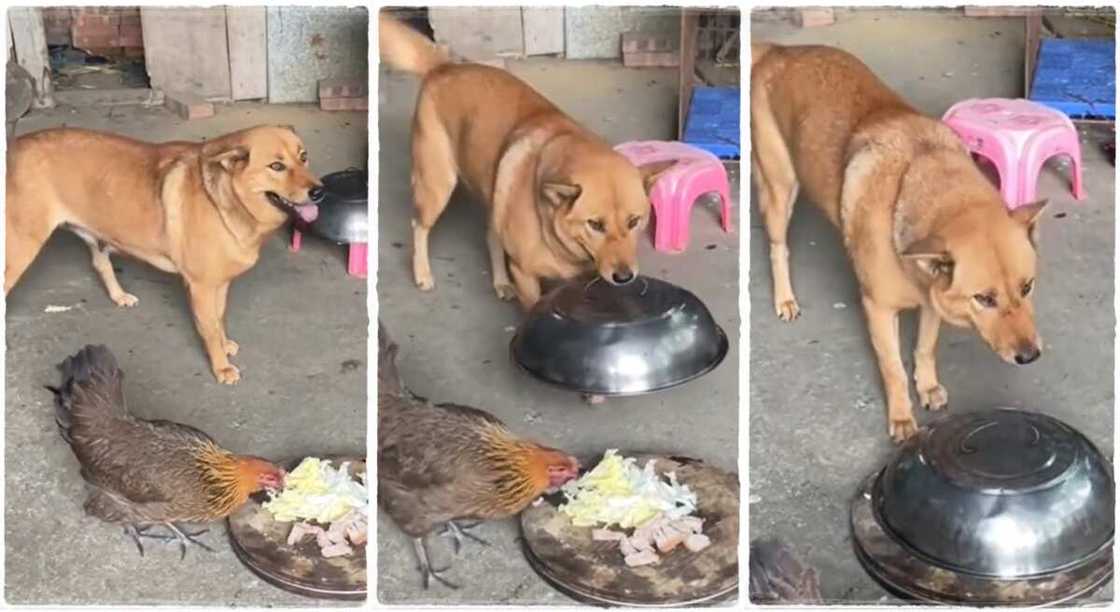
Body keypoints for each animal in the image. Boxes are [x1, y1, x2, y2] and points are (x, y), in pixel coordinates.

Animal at [7, 126, 324, 383]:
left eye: (304, 156)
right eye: (276, 166)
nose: (320, 192)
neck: (226, 199)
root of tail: (15, 144)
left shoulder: (220, 283)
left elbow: (219, 318)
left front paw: (224, 345)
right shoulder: (201, 286)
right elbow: (209, 327)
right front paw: (221, 367)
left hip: (95, 235)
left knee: (100, 263)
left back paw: (119, 296)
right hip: (21, 247)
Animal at [380, 13, 672, 309]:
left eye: (634, 221)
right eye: (595, 225)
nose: (624, 277)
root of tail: (443, 65)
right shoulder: (525, 275)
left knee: (491, 236)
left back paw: (500, 281)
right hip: (437, 185)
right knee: (419, 225)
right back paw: (422, 273)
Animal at [748, 45, 1043, 441]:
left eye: (1027, 287)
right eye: (984, 299)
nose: (1030, 356)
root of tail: (779, 51)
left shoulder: (933, 298)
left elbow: (924, 349)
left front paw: (928, 387)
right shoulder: (878, 308)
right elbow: (892, 368)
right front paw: (902, 416)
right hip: (780, 187)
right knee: (778, 247)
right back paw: (785, 298)